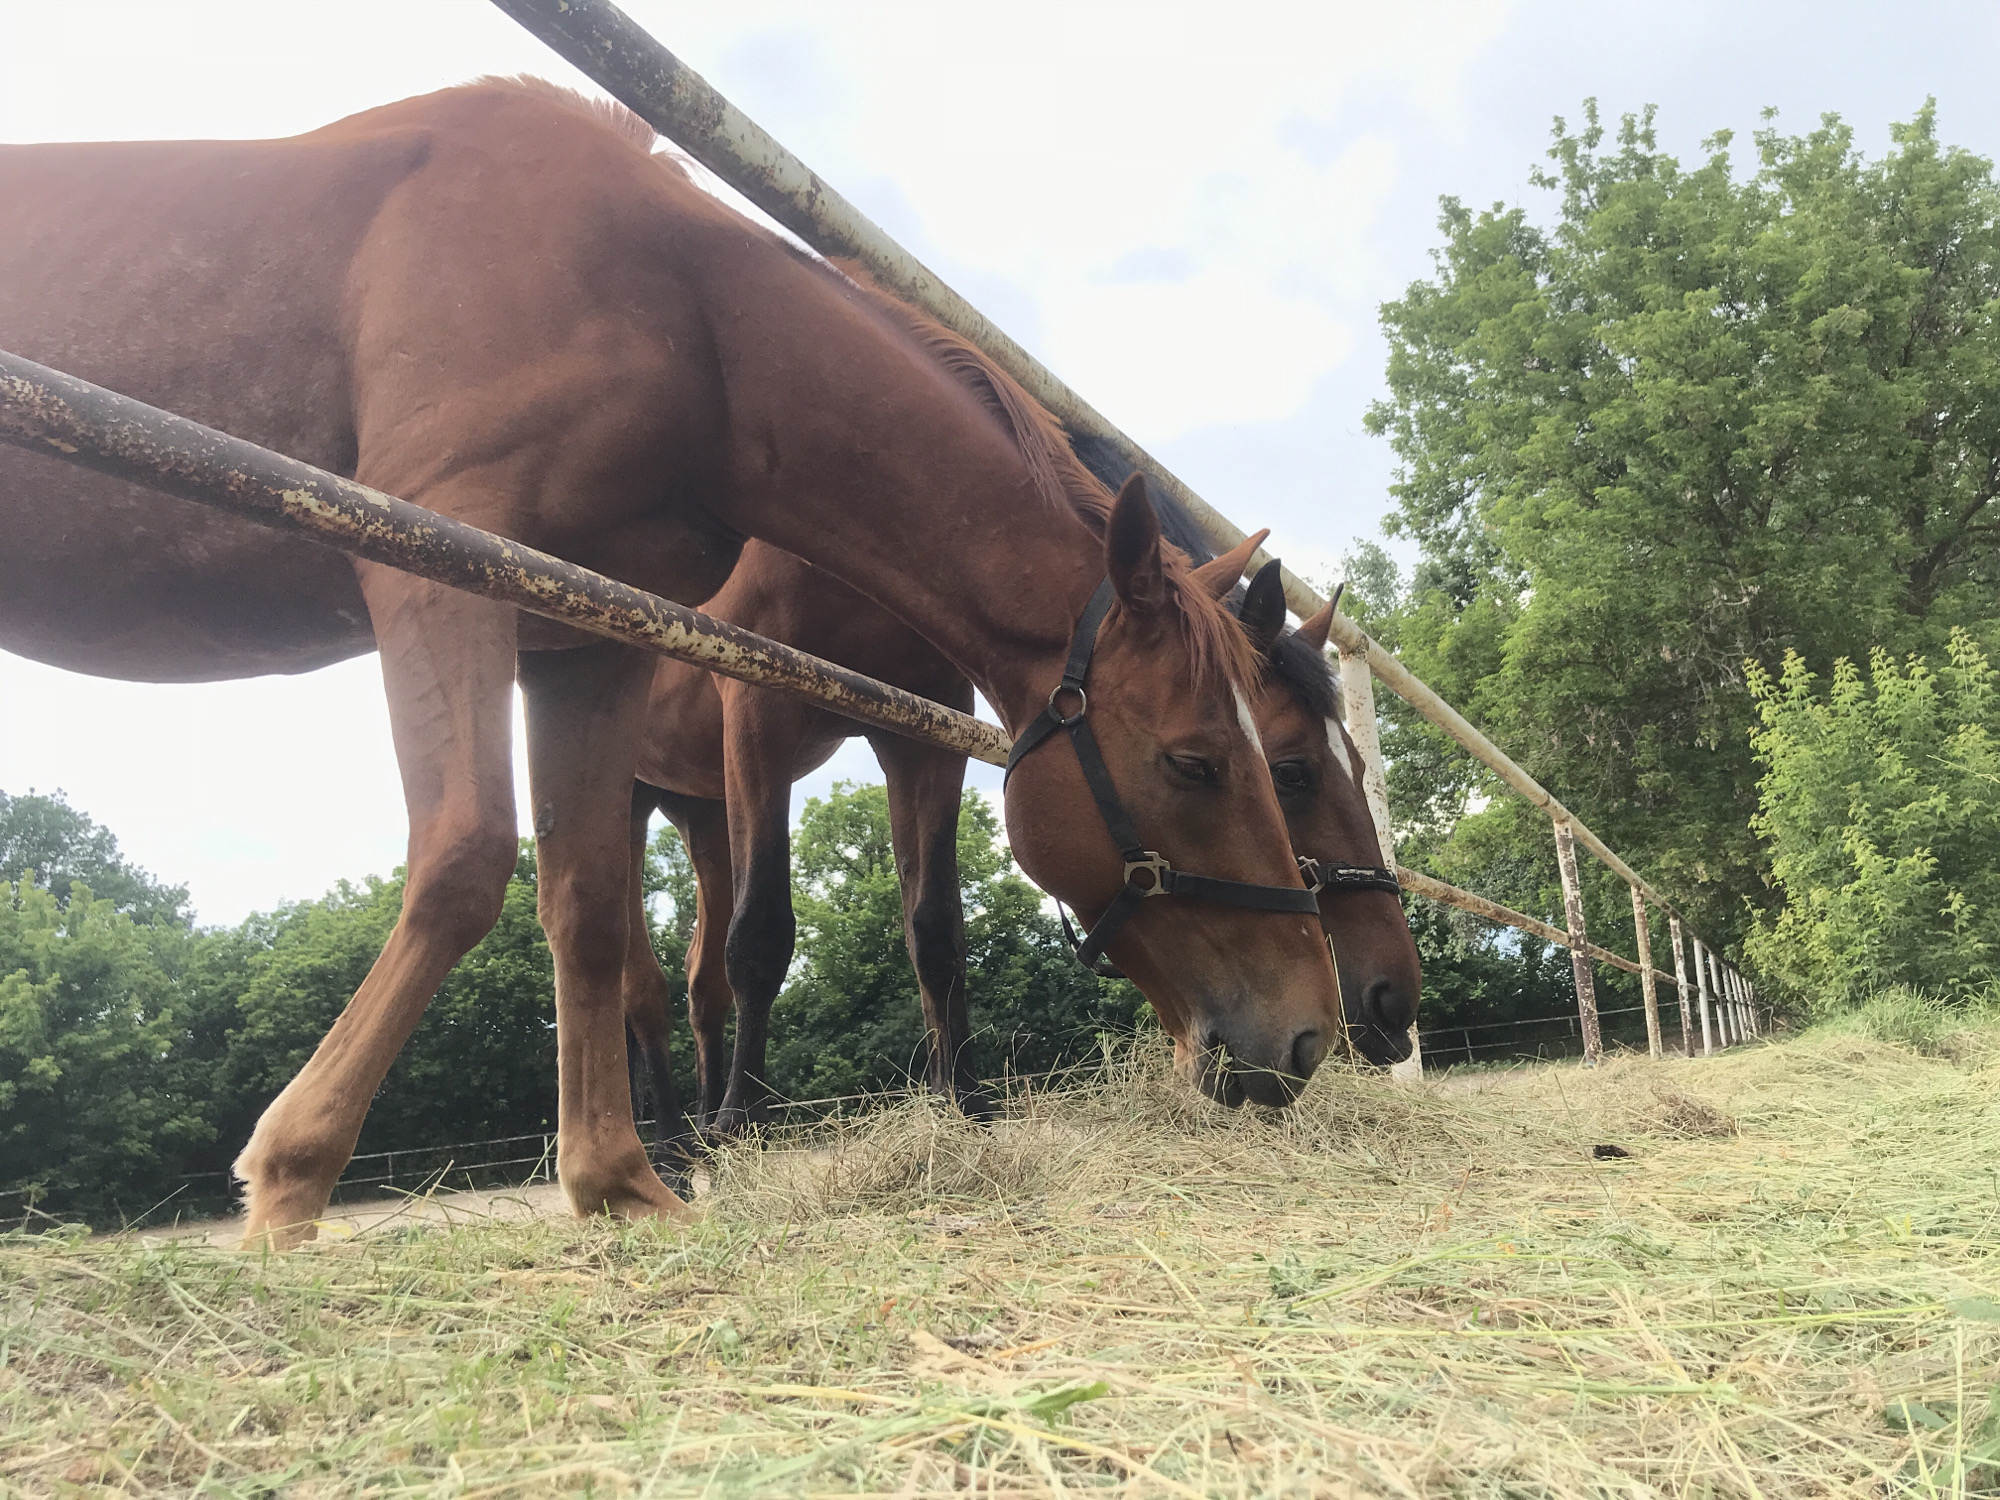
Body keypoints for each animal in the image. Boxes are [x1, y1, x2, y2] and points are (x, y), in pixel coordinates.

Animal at [0, 78, 1342, 1246]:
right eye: (1197, 763)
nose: (1312, 1034)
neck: (678, 308)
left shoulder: (584, 638)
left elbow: (589, 910)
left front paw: (617, 1182)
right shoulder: (447, 571)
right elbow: (469, 861)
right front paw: (291, 1172)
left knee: (665, 969)